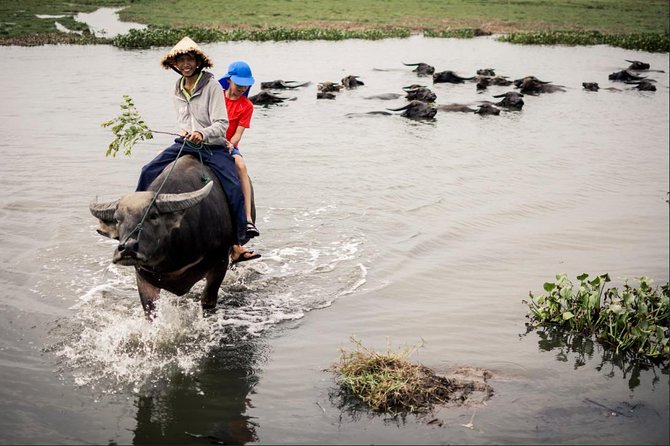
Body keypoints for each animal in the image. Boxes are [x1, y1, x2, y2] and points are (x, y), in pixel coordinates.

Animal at [86, 156, 249, 318]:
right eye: (117, 219)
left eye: (153, 215)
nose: (127, 248)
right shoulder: (143, 277)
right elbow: (150, 310)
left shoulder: (220, 264)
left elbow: (207, 302)